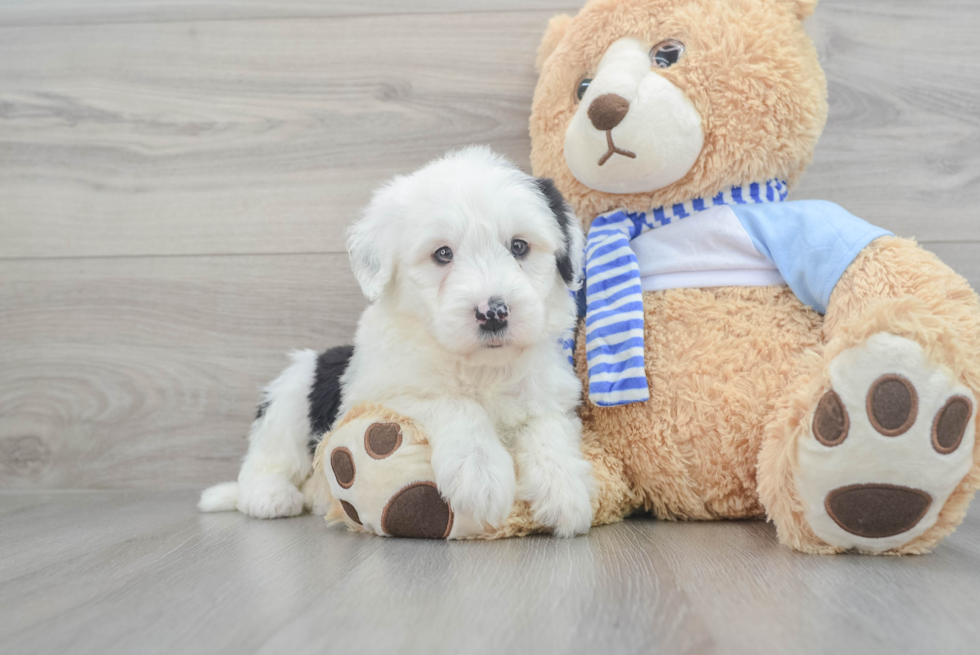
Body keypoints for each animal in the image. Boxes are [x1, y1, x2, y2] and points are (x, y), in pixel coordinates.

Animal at [201, 149, 588, 540]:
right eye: (443, 254)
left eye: (519, 246)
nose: (492, 312)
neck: (480, 367)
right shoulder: (379, 392)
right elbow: (452, 401)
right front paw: (480, 473)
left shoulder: (549, 392)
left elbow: (548, 427)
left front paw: (565, 489)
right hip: (293, 393)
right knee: (266, 460)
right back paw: (271, 496)